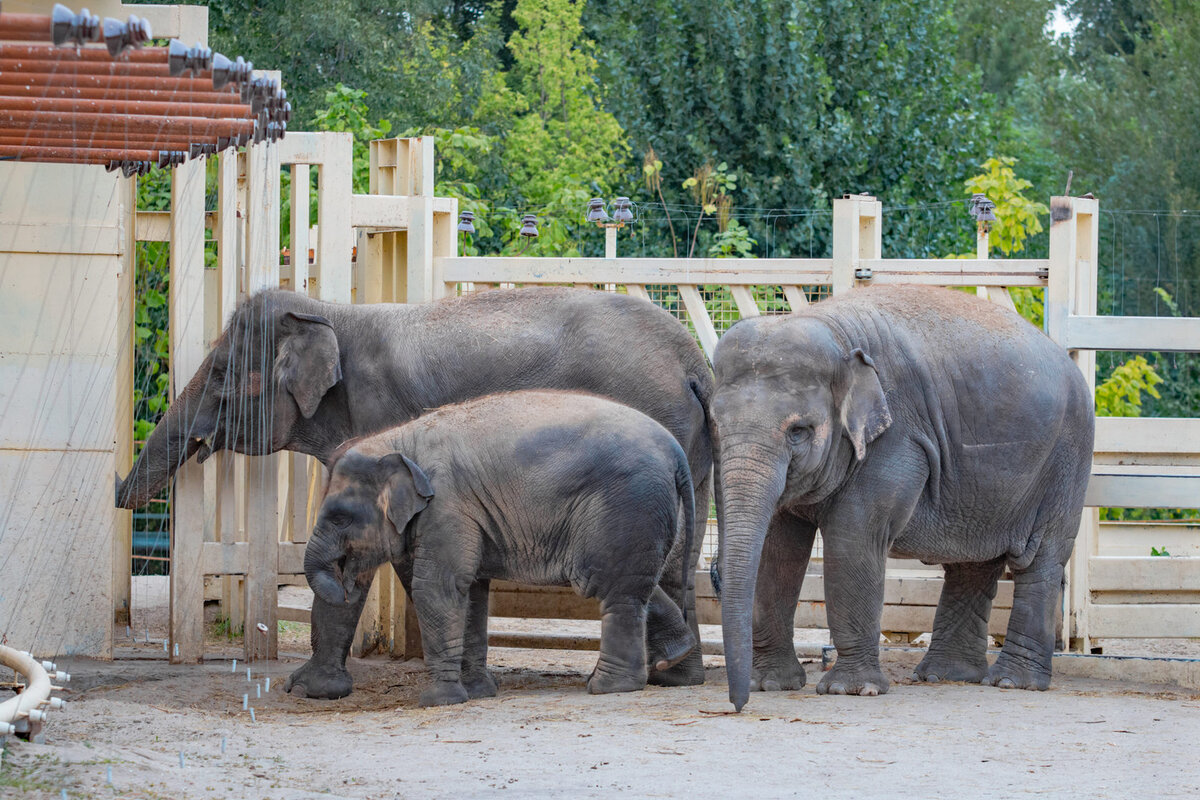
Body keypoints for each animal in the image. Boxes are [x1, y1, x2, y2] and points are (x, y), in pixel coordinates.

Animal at [304, 388, 700, 705]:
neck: (398, 441)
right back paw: (671, 656)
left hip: (627, 506)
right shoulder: (465, 514)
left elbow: (440, 587)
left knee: (608, 587)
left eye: (340, 518)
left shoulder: (448, 505)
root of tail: (677, 452)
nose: (346, 580)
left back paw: (608, 687)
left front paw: (439, 701)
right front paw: (479, 693)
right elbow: (473, 592)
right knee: (630, 585)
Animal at [710, 284, 1099, 710]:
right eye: (715, 423)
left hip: (1067, 457)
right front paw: (771, 684)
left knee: (1040, 558)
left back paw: (1013, 682)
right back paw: (946, 676)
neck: (832, 327)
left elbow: (854, 537)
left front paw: (851, 690)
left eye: (798, 431)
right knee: (973, 563)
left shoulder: (898, 436)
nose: (738, 704)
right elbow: (777, 548)